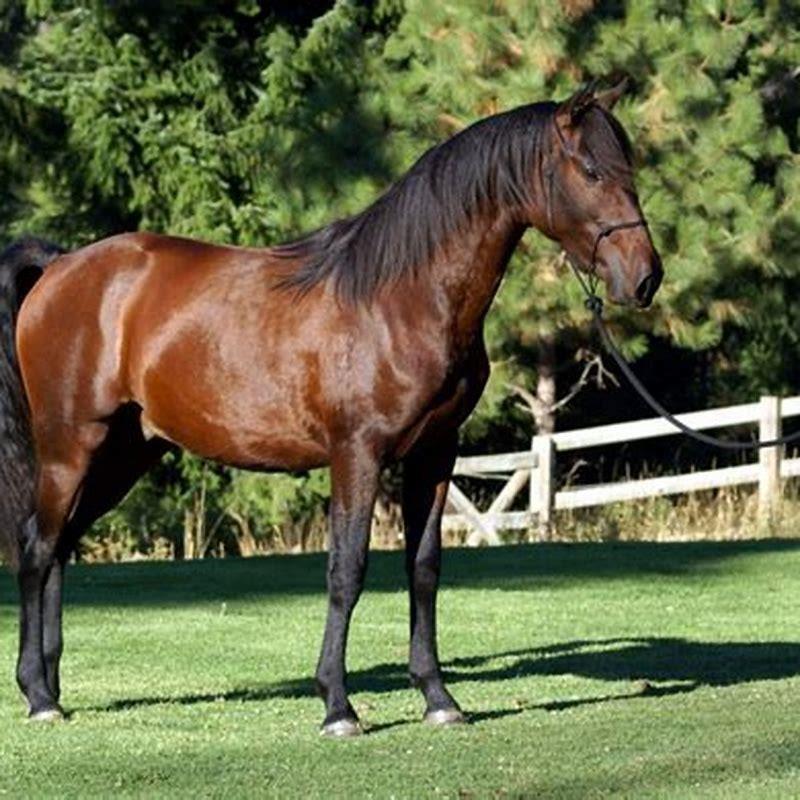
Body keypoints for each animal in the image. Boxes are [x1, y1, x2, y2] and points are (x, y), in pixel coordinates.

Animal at [0, 81, 661, 735]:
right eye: (591, 170)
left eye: (629, 167)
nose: (645, 278)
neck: (401, 299)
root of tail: (60, 267)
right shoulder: (356, 454)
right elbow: (347, 571)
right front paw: (338, 707)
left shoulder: (434, 453)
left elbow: (424, 569)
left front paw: (438, 698)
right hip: (71, 446)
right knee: (37, 548)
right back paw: (39, 695)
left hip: (124, 454)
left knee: (60, 546)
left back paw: (53, 686)